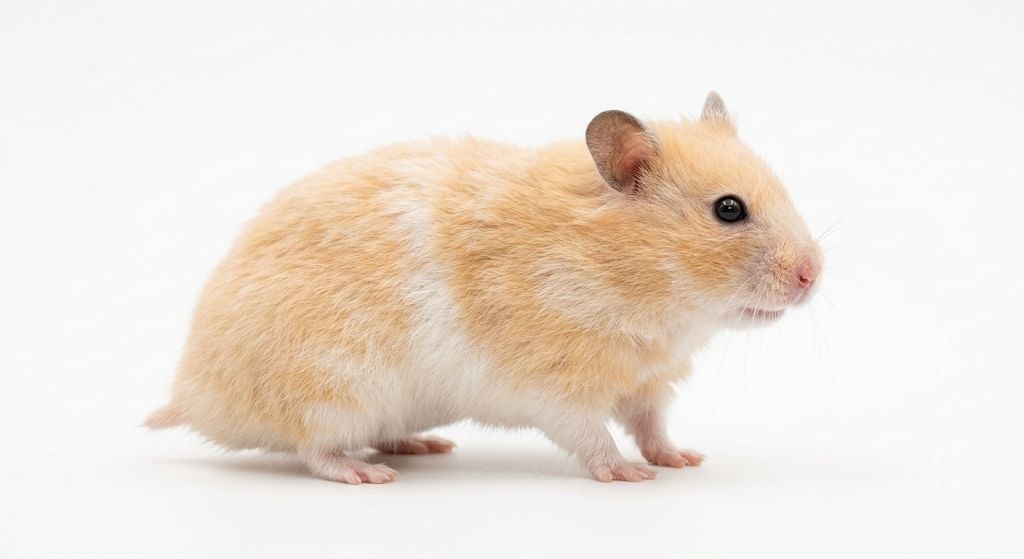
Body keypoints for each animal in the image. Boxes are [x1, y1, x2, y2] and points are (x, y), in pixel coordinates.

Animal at [146, 92, 823, 483]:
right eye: (729, 210)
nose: (813, 275)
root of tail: (192, 397)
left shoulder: (648, 383)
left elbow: (650, 425)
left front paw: (682, 461)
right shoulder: (556, 389)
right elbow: (591, 435)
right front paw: (629, 476)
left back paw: (422, 445)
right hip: (331, 391)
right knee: (313, 450)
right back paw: (369, 475)